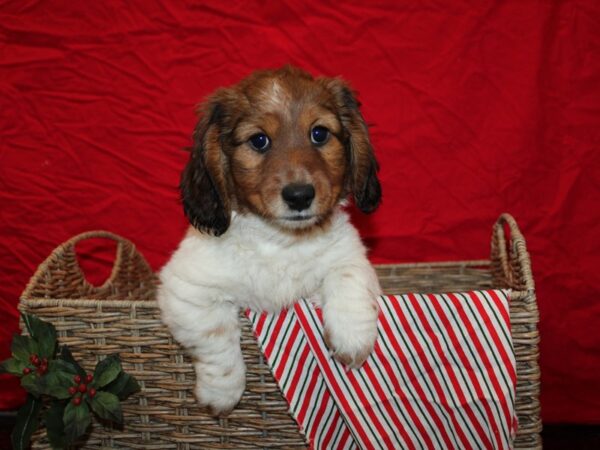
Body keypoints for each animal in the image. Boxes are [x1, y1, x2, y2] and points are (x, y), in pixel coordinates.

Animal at [157, 66, 382, 414]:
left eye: (319, 134)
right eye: (259, 140)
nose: (300, 196)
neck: (280, 242)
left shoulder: (351, 257)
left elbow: (347, 277)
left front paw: (352, 337)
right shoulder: (187, 291)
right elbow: (216, 337)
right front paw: (222, 392)